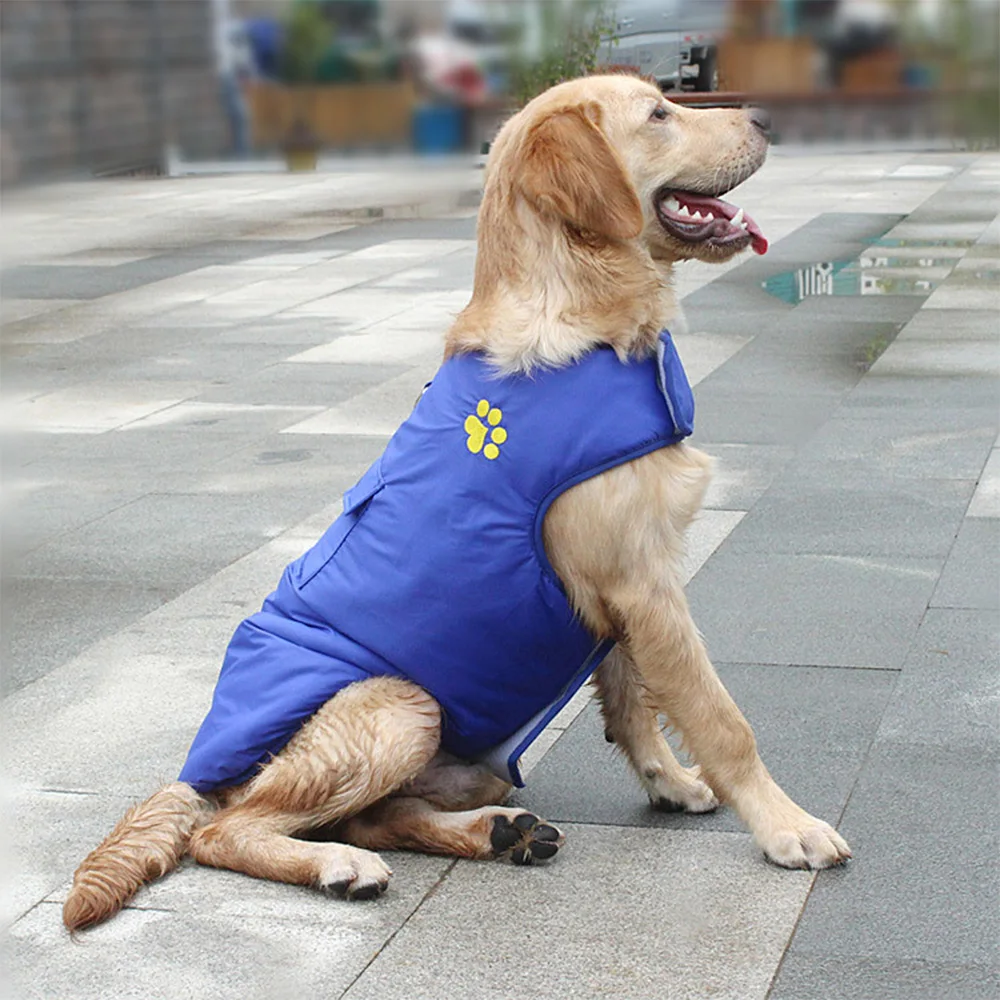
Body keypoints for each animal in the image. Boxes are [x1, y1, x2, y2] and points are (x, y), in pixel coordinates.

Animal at [62, 74, 848, 932]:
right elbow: (720, 717)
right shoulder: (641, 579)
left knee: (378, 816)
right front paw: (787, 826)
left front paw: (668, 781)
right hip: (401, 705)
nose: (767, 116)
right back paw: (341, 865)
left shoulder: (623, 593)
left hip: (471, 759)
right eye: (660, 114)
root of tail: (195, 772)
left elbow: (633, 699)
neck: (582, 319)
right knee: (232, 832)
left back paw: (498, 832)